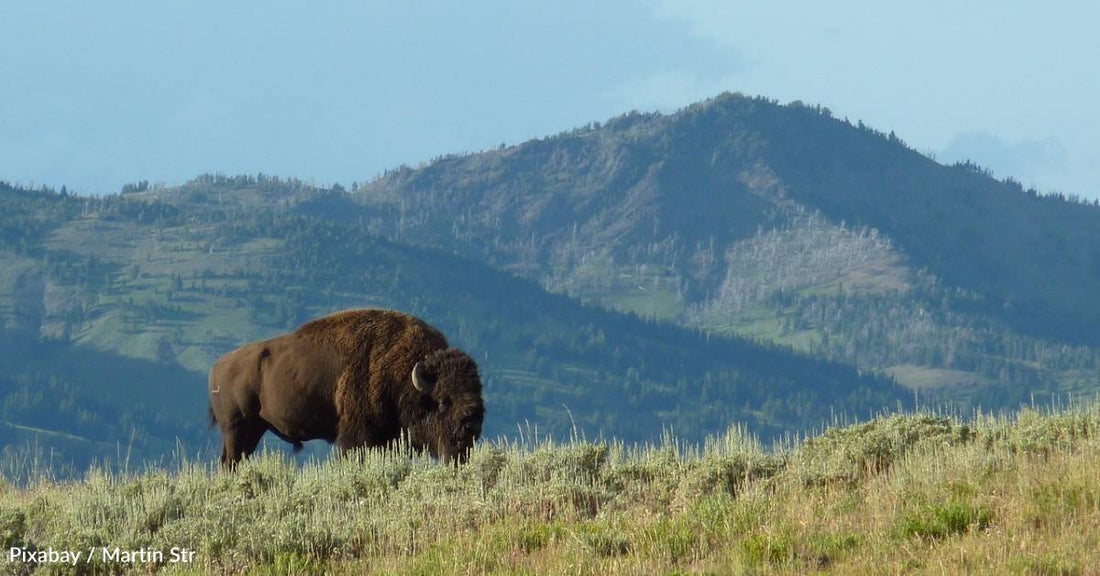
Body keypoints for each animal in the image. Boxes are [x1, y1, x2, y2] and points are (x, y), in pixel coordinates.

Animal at [207, 307, 484, 466]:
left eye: (477, 391)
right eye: (443, 401)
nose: (472, 424)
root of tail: (218, 366)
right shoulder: (356, 438)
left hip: (254, 430)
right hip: (237, 429)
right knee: (229, 462)